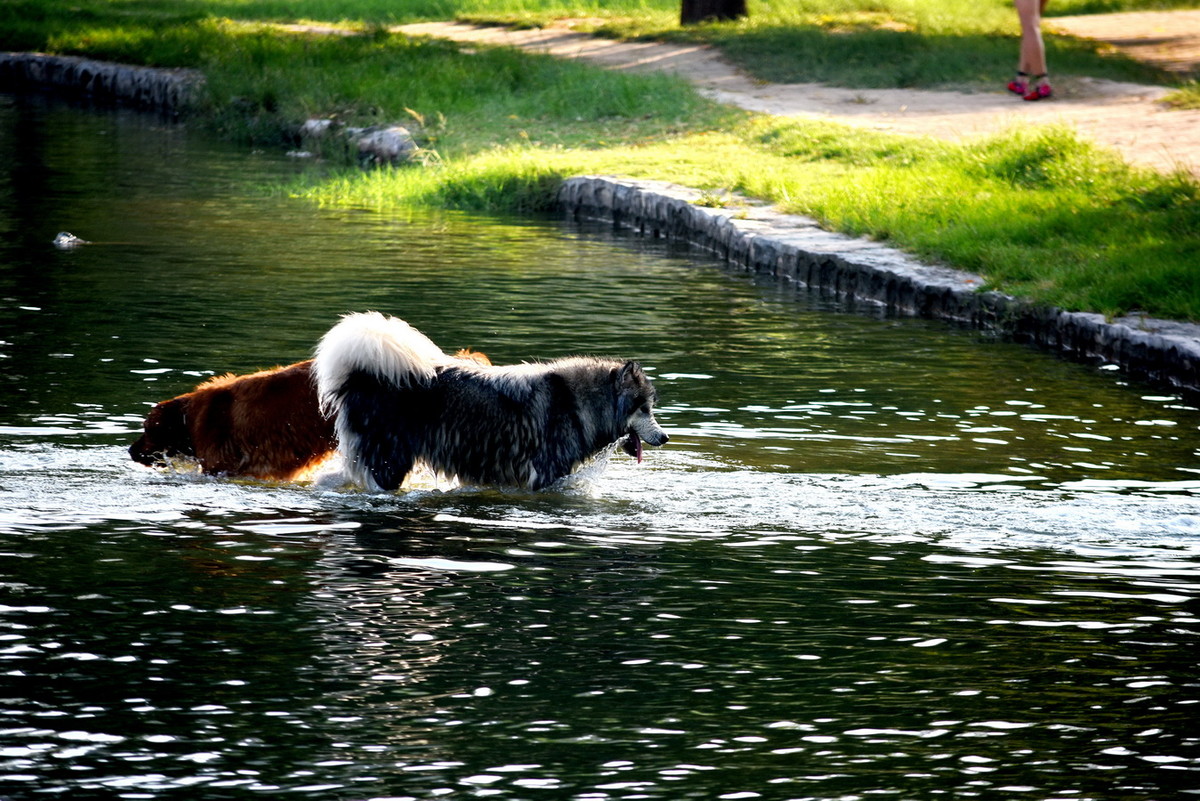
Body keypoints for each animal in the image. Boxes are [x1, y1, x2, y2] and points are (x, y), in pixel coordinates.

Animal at [312, 311, 667, 489]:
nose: (665, 437)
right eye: (644, 408)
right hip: (390, 463)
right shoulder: (546, 475)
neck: (578, 401)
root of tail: (360, 376)